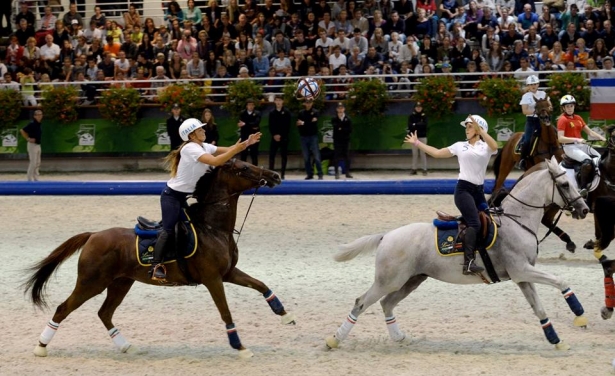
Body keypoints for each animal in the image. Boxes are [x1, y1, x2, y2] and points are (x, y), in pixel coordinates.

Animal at [23, 159, 294, 358]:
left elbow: (261, 285)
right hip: (92, 283)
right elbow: (225, 312)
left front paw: (285, 315)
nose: (275, 176)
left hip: (121, 283)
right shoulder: (213, 279)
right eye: (244, 167)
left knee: (104, 313)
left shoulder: (228, 273)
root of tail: (93, 235)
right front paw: (240, 347)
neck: (213, 228)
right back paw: (41, 347)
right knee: (63, 309)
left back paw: (125, 345)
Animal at [328, 156, 592, 350]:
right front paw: (579, 313)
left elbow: (539, 308)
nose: (584, 209)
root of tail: (386, 236)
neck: (518, 220)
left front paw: (556, 341)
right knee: (361, 303)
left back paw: (400, 337)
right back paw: (334, 339)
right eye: (565, 185)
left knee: (386, 304)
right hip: (389, 280)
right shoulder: (522, 270)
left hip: (411, 280)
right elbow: (561, 281)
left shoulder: (522, 277)